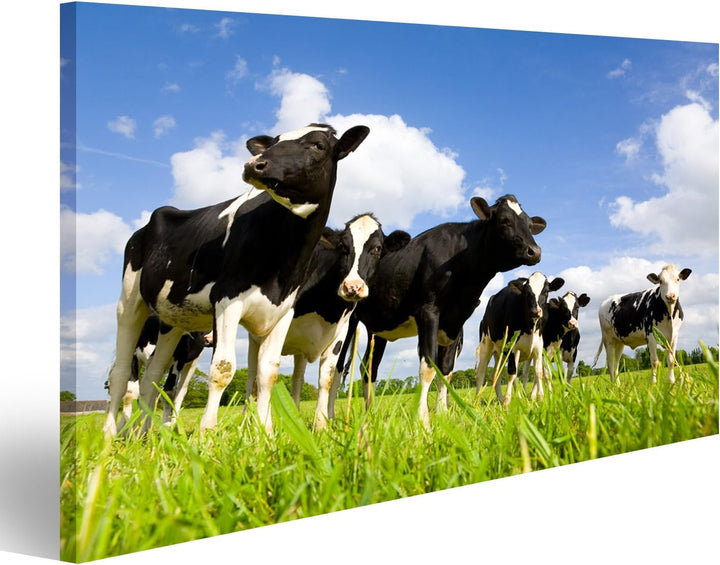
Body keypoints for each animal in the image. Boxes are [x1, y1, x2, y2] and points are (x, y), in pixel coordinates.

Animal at [103, 123, 370, 437]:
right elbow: (223, 369)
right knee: (121, 374)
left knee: (152, 379)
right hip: (130, 301)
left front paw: (266, 433)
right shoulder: (226, 301)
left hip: (172, 321)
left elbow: (268, 372)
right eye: (275, 141)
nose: (254, 164)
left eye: (318, 145)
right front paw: (206, 433)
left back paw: (144, 436)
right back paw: (109, 435)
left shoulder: (283, 311)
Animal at [336, 194, 547, 427]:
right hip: (349, 317)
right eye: (504, 221)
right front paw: (422, 419)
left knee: (369, 368)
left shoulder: (456, 321)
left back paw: (370, 413)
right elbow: (428, 366)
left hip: (380, 329)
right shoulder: (428, 312)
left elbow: (445, 369)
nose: (535, 251)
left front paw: (443, 414)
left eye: (529, 225)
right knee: (339, 366)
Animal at [475, 273, 564, 405]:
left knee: (496, 374)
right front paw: (507, 401)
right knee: (481, 373)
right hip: (486, 345)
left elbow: (539, 373)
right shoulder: (513, 347)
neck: (530, 327)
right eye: (527, 292)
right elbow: (512, 373)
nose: (535, 311)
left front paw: (541, 399)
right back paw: (477, 401)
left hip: (501, 353)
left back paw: (501, 399)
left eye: (546, 291)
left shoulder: (538, 347)